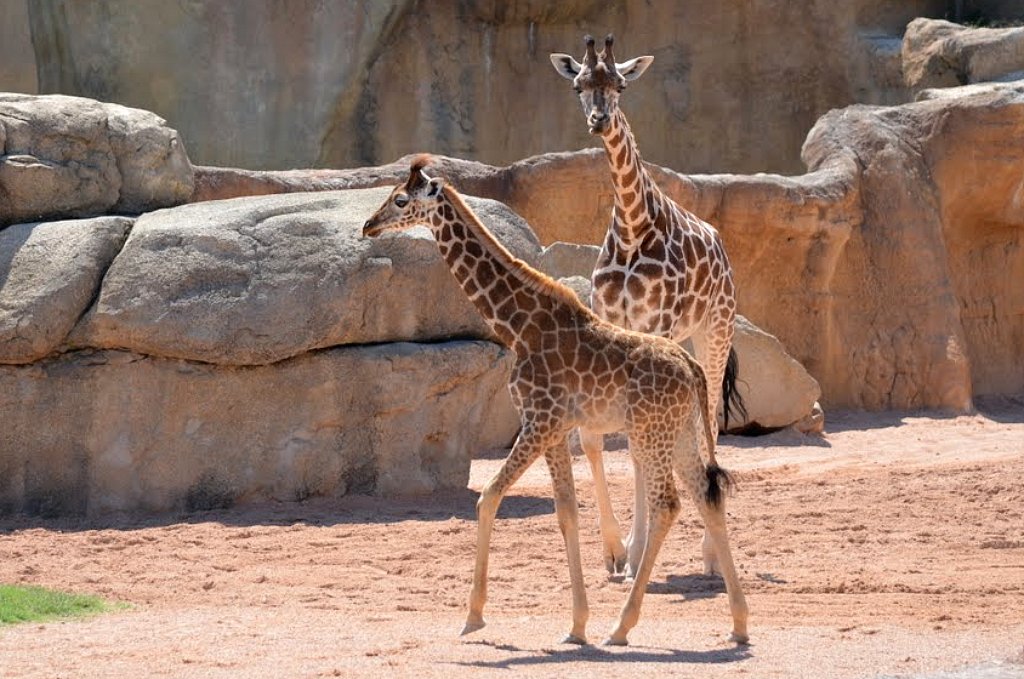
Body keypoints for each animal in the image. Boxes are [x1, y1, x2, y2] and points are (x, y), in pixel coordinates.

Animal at [364, 155, 749, 647]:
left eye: (399, 200)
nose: (368, 226)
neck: (516, 325)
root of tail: (691, 369)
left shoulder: (539, 418)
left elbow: (488, 497)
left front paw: (474, 616)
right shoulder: (556, 427)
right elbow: (566, 512)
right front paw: (577, 624)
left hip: (653, 431)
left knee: (668, 503)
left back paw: (622, 626)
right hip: (677, 432)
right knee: (706, 497)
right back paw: (738, 624)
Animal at [552, 34, 745, 577]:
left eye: (619, 84)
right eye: (578, 84)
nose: (598, 120)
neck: (633, 229)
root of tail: (721, 246)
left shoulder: (654, 323)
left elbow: (640, 448)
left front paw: (638, 552)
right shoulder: (610, 320)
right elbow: (594, 440)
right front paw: (616, 552)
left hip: (714, 329)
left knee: (711, 424)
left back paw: (710, 555)